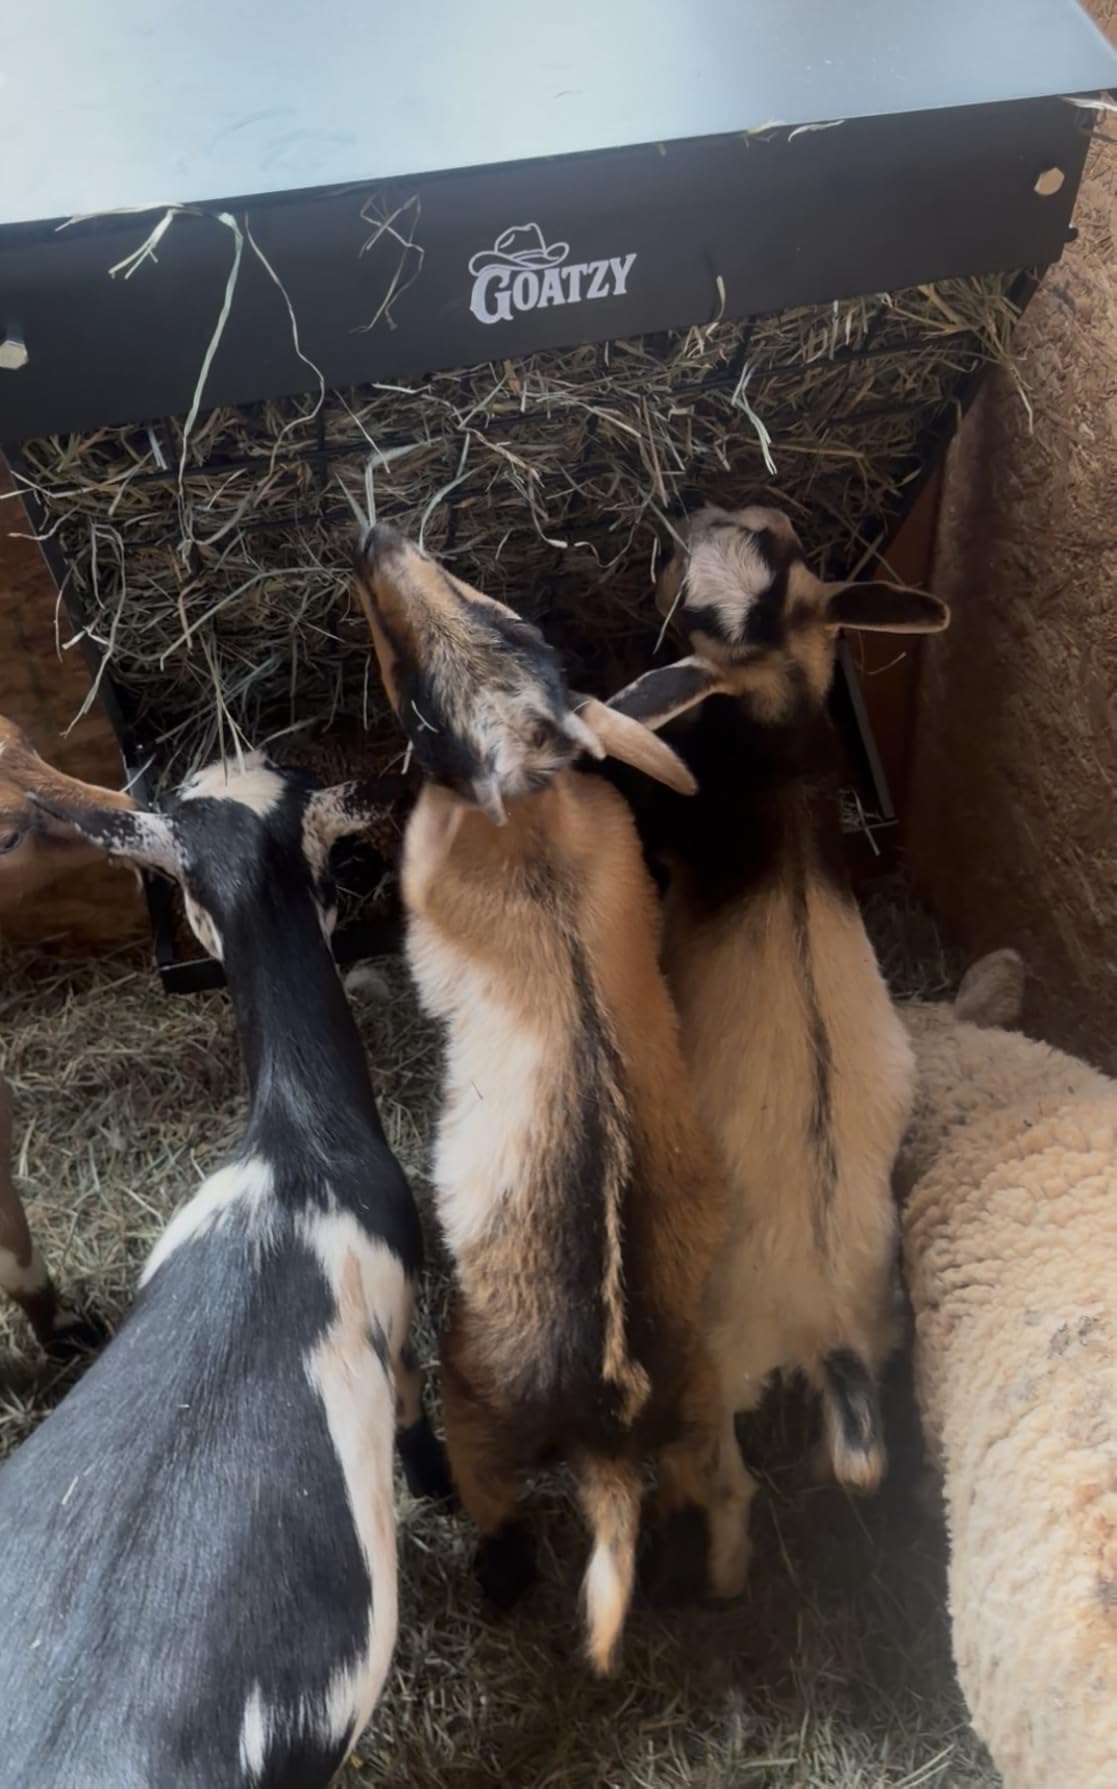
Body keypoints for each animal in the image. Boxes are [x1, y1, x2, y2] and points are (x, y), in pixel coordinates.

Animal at [353, 522, 736, 1674]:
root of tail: (606, 1430)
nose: (371, 538)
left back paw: (497, 1578)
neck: (528, 807)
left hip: (476, 1405)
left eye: (414, 703)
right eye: (504, 611)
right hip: (699, 1409)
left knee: (500, 1508)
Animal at [603, 503, 950, 1593]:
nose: (700, 515)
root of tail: (825, 1318)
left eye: (689, 608)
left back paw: (711, 1568)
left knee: (726, 1480)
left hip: (716, 1364)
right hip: (882, 1325)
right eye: (782, 542)